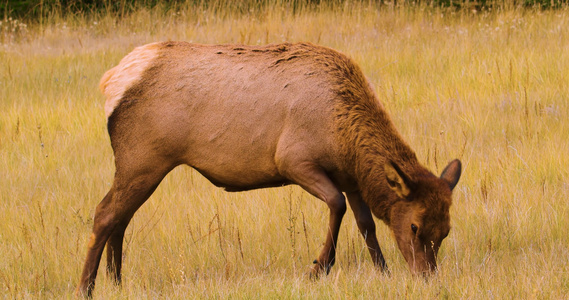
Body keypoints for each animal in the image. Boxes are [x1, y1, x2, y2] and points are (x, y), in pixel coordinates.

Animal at [76, 41, 462, 296]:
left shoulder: (352, 179)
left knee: (121, 218)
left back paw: (116, 282)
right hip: (143, 159)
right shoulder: (293, 159)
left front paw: (383, 272)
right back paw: (86, 287)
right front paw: (318, 268)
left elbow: (366, 225)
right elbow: (336, 205)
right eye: (414, 226)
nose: (427, 277)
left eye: (445, 231)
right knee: (105, 213)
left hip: (141, 167)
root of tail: (111, 80)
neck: (344, 140)